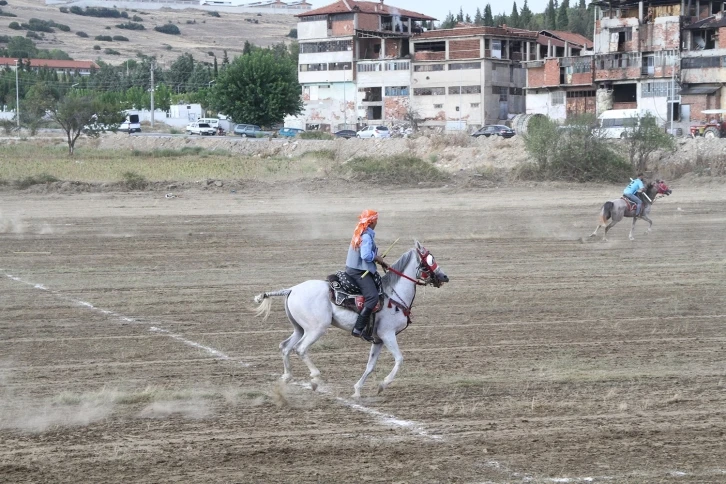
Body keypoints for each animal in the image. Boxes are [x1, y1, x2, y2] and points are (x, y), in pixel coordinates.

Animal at [255, 241, 450, 398]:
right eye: (430, 259)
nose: (444, 277)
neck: (394, 295)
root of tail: (292, 289)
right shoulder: (387, 335)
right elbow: (399, 359)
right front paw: (382, 384)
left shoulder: (378, 340)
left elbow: (370, 366)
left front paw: (357, 390)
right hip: (316, 329)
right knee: (300, 349)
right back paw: (315, 379)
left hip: (299, 328)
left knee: (285, 347)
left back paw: (286, 378)